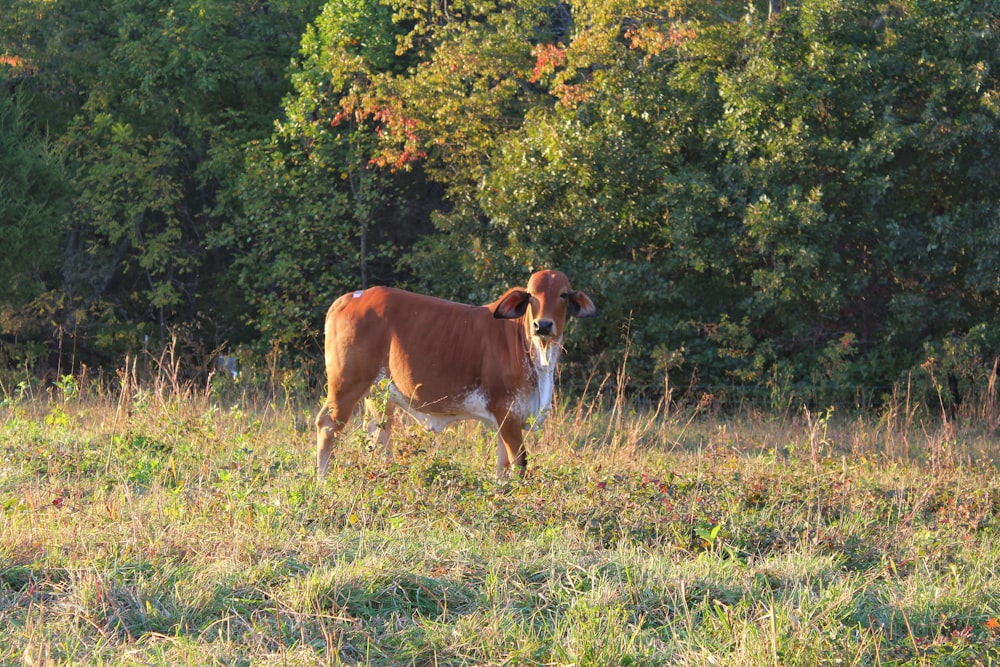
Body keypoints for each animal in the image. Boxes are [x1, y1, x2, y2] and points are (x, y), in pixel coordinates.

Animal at [314, 268, 592, 478]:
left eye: (563, 295)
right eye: (531, 295)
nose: (542, 325)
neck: (537, 354)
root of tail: (350, 297)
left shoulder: (507, 419)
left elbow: (503, 466)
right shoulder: (507, 411)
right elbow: (519, 463)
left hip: (379, 394)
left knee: (378, 432)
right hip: (346, 385)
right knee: (328, 424)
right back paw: (323, 479)